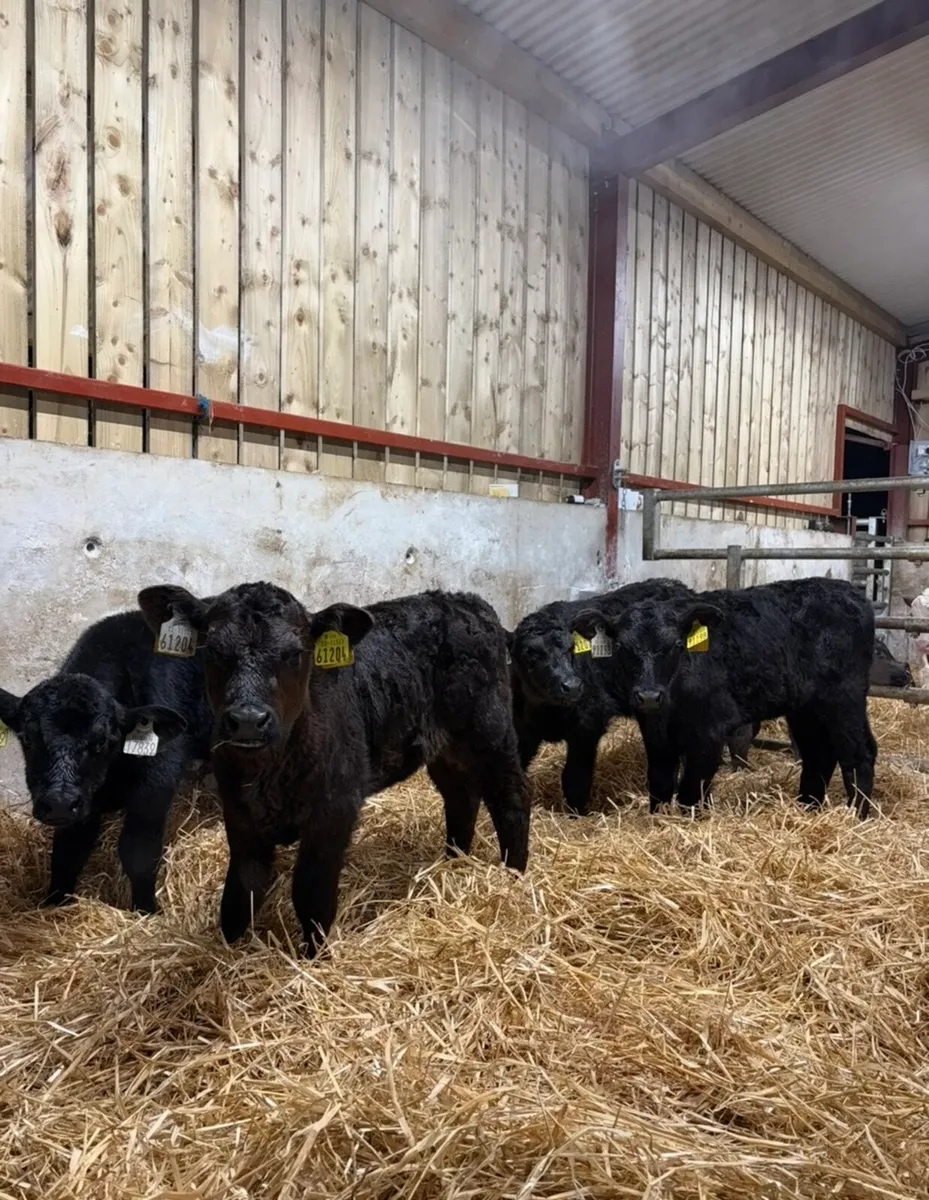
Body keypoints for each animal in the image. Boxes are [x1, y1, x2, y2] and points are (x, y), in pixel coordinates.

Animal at [0, 612, 212, 911]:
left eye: (101, 741)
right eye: (27, 738)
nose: (59, 803)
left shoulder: (155, 786)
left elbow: (138, 852)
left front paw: (146, 910)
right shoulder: (82, 805)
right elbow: (68, 853)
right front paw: (54, 905)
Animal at [136, 582, 529, 957]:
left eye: (295, 654)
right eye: (213, 652)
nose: (248, 720)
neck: (270, 775)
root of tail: (466, 600)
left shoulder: (335, 812)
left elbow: (312, 895)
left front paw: (314, 959)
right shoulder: (239, 814)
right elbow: (240, 894)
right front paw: (226, 955)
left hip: (491, 731)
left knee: (511, 797)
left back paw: (514, 874)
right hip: (444, 747)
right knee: (461, 797)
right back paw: (451, 862)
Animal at [509, 578, 756, 814]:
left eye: (571, 650)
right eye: (530, 654)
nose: (572, 686)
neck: (545, 709)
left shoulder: (587, 727)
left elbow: (576, 781)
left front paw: (575, 817)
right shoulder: (522, 732)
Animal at [575, 577, 877, 818]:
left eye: (676, 645)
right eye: (621, 647)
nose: (649, 696)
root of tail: (851, 592)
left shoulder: (710, 730)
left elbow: (690, 791)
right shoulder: (655, 733)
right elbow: (660, 783)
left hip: (844, 698)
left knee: (860, 752)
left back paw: (856, 817)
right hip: (806, 709)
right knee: (818, 754)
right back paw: (807, 809)